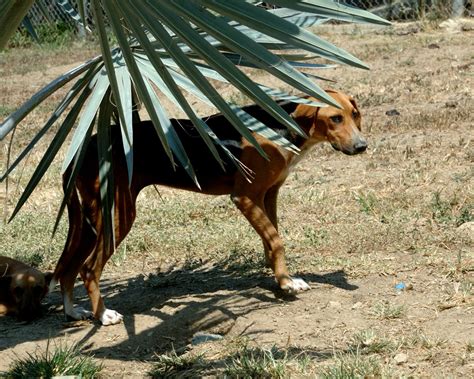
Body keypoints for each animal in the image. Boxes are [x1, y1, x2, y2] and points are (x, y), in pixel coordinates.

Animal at [51, 90, 368, 326]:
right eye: (335, 118)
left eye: (354, 115)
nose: (362, 146)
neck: (279, 126)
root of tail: (81, 150)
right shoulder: (245, 197)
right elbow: (277, 240)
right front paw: (286, 284)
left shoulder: (269, 195)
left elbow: (271, 240)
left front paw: (282, 278)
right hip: (117, 216)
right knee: (88, 268)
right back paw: (103, 315)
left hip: (91, 220)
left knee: (67, 268)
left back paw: (73, 311)